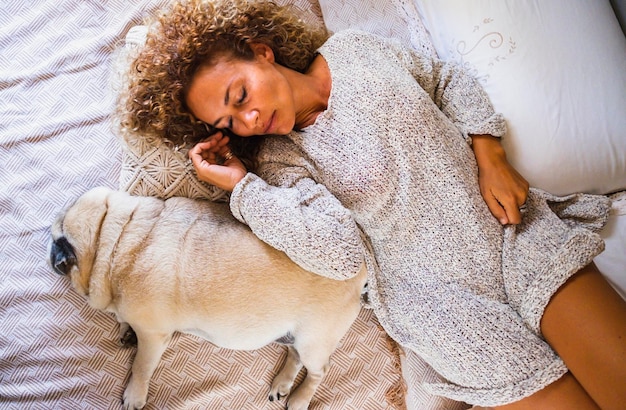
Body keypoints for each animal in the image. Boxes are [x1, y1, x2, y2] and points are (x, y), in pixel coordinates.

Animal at [50, 187, 370, 410]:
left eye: (56, 242)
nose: (51, 256)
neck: (116, 239)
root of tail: (361, 272)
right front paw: (124, 328)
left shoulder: (153, 336)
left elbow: (141, 367)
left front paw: (134, 395)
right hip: (292, 335)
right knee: (294, 354)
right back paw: (283, 383)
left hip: (314, 340)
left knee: (319, 370)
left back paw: (300, 398)